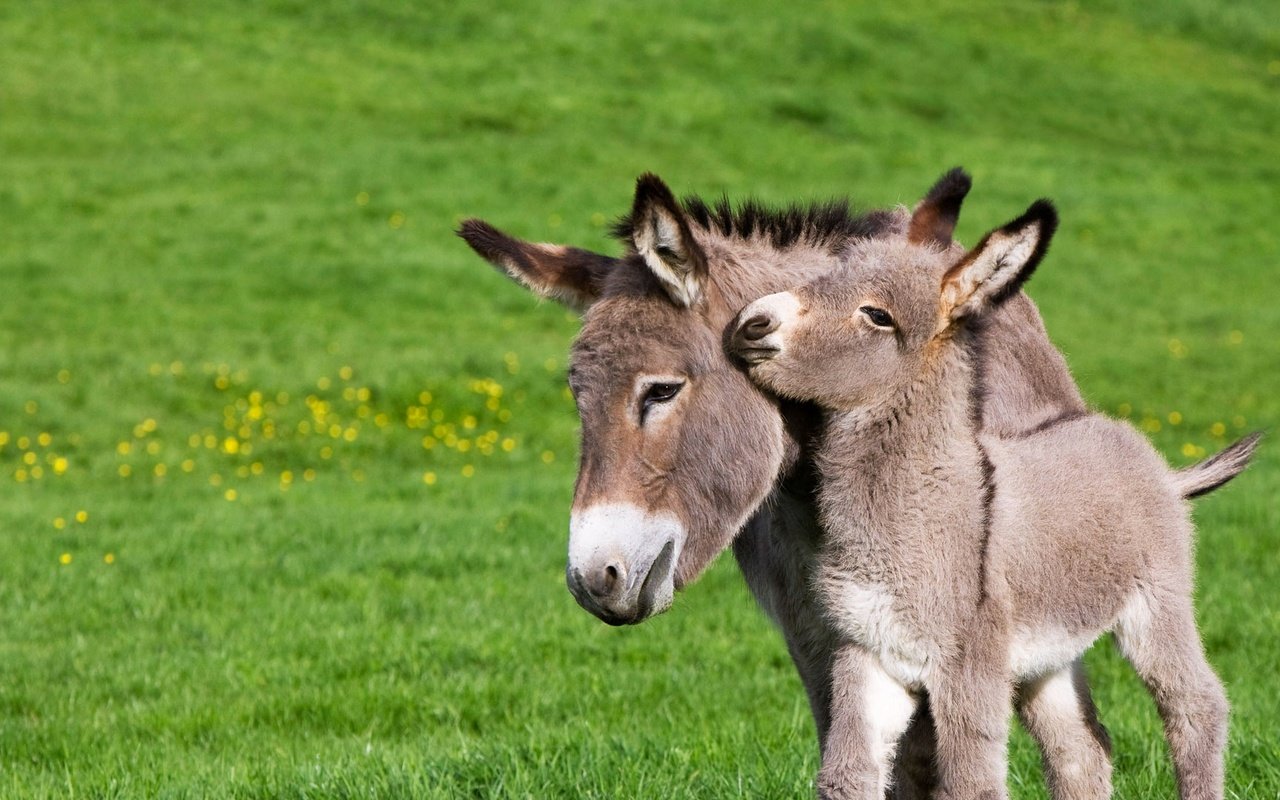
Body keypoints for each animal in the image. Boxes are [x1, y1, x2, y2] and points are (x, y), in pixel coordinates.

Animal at [732, 180, 1259, 798]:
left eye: (877, 315)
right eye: (825, 275)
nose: (751, 322)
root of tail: (1147, 457)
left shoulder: (967, 668)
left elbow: (971, 782)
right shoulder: (867, 656)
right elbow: (846, 777)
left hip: (1159, 604)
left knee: (1196, 706)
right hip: (1046, 657)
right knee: (1082, 749)